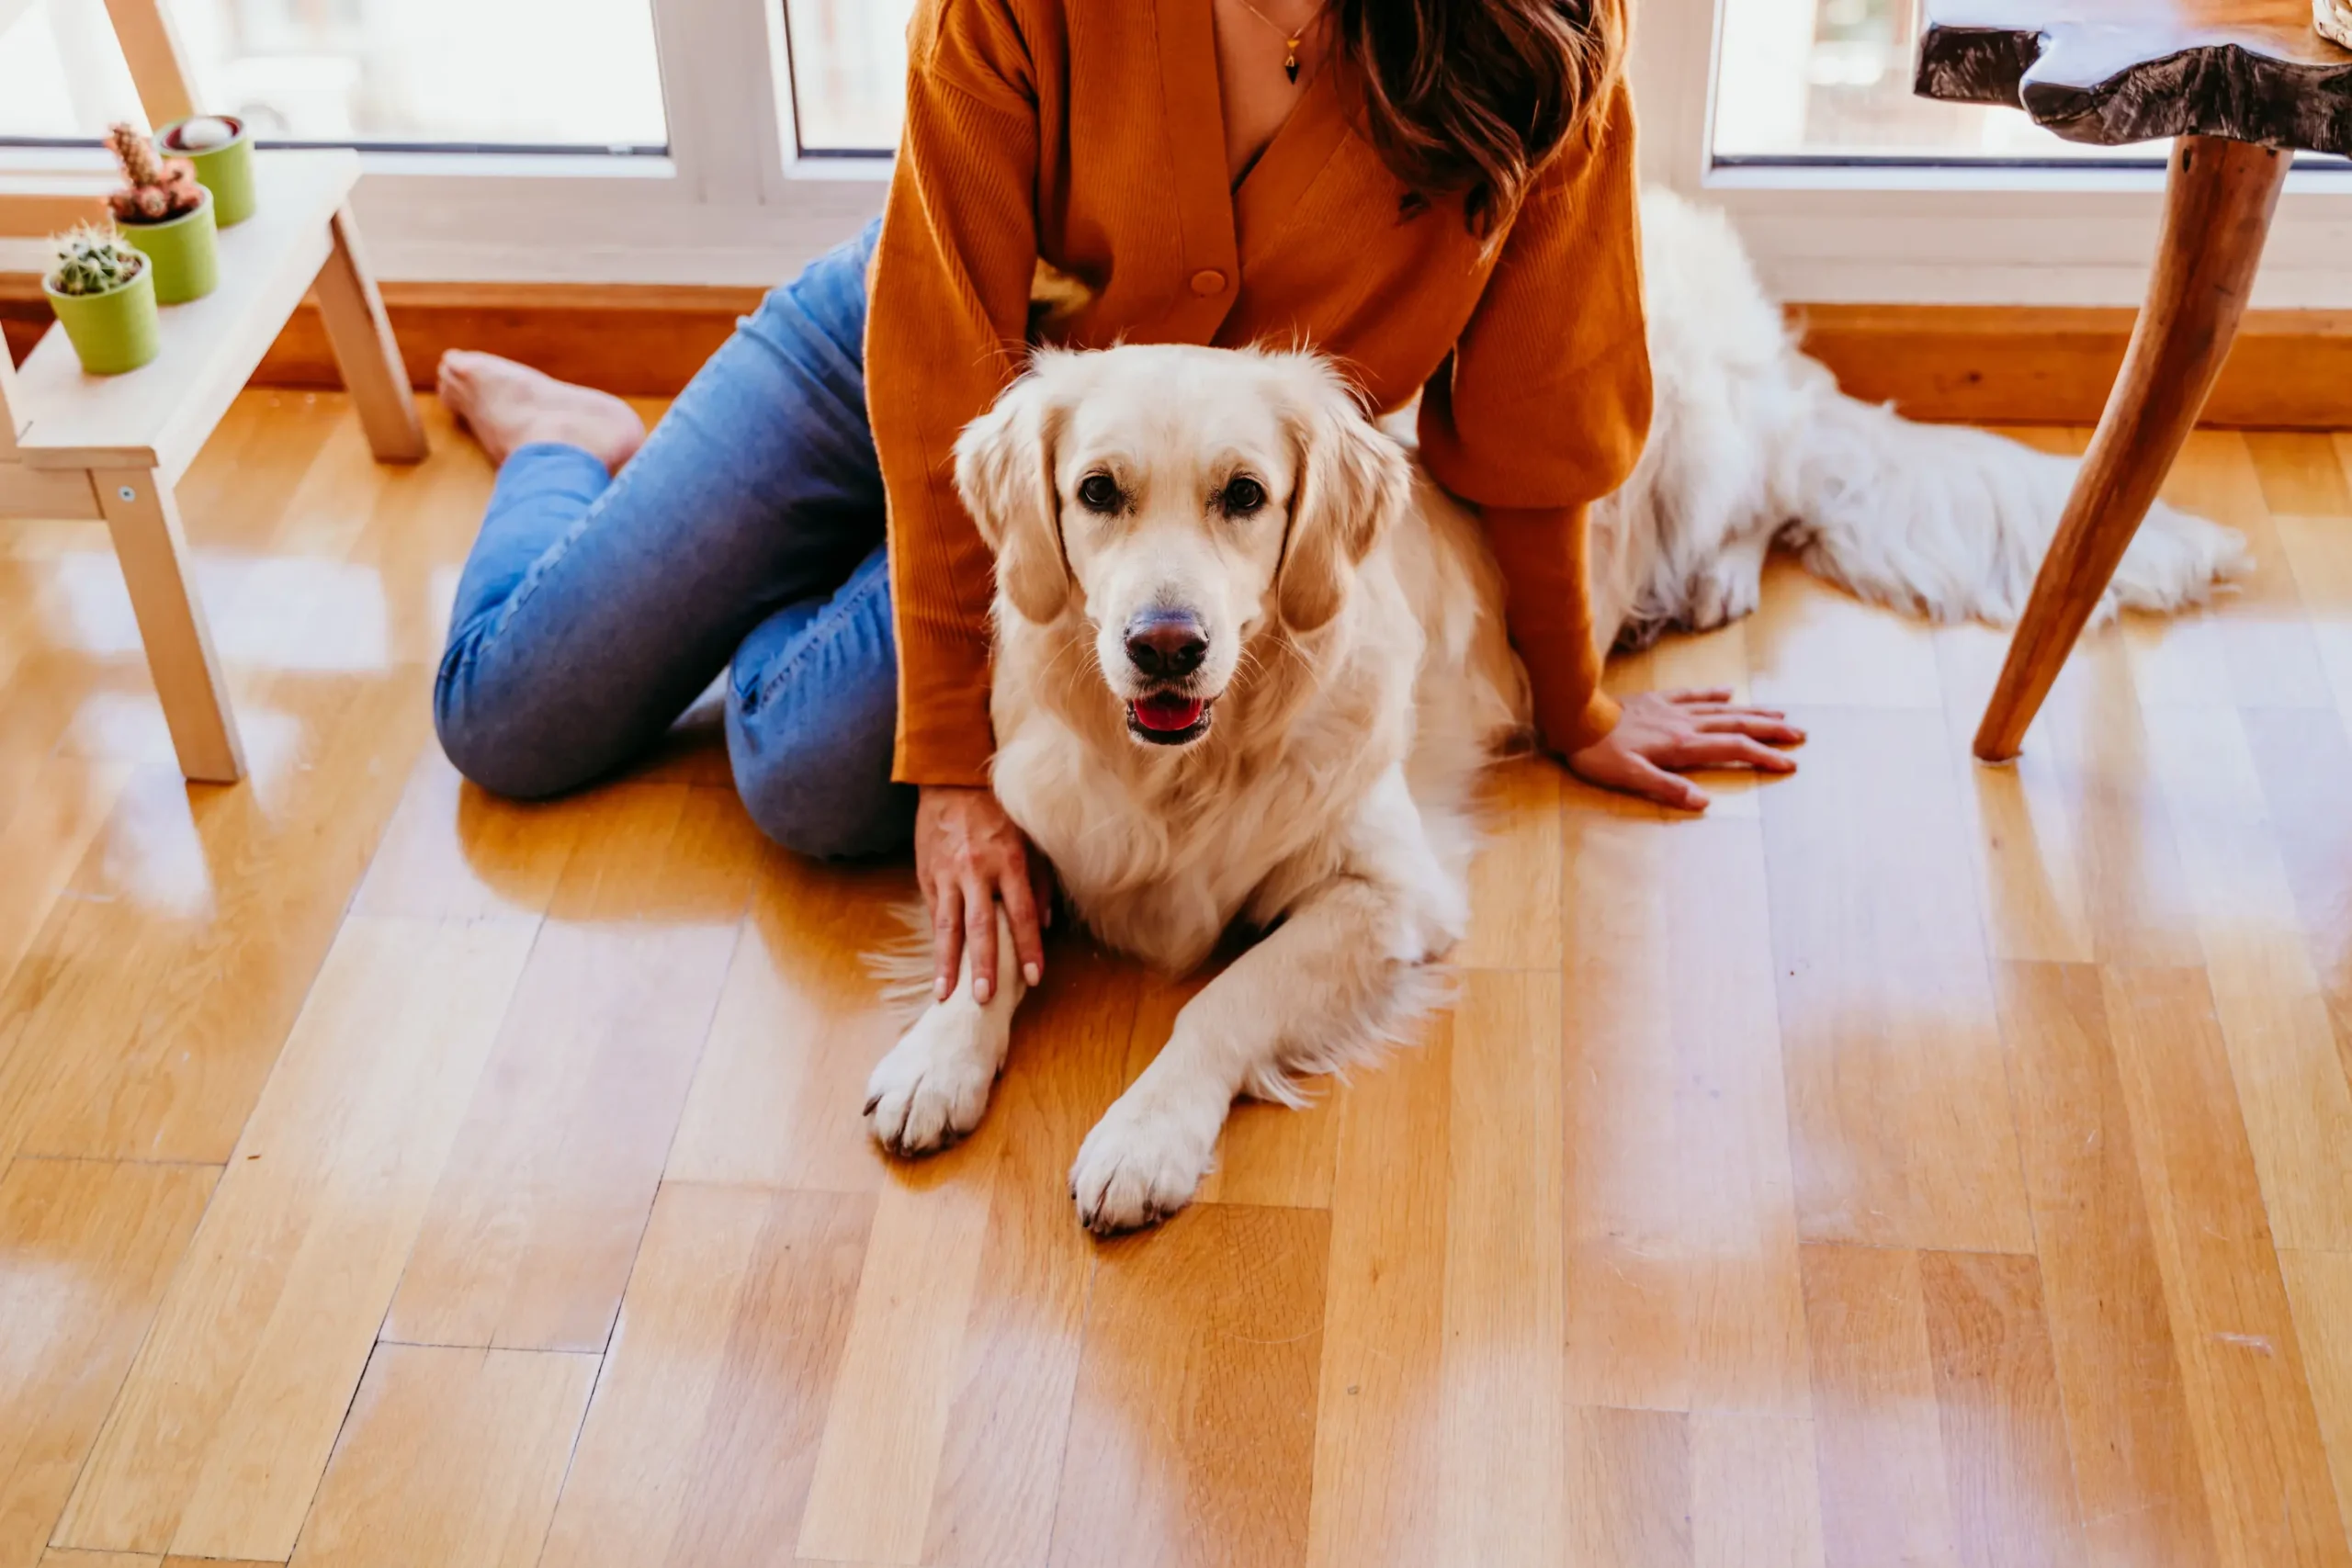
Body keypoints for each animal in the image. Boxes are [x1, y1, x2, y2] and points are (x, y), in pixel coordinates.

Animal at [860, 186, 2239, 1241]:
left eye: (1244, 495)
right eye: (1097, 492)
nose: (1163, 645)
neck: (1182, 772)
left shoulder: (1388, 894)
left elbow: (1225, 999)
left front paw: (1144, 1132)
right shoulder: (1040, 819)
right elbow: (989, 924)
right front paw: (938, 1053)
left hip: (1685, 435)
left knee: (1763, 495)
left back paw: (1707, 584)